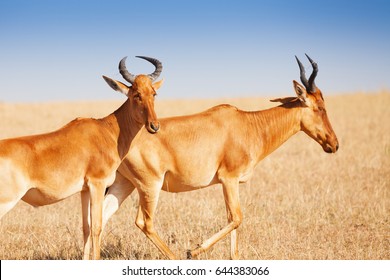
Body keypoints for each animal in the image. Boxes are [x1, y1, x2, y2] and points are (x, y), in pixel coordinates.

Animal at [0, 55, 164, 260]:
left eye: (154, 93)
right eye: (136, 94)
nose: (154, 126)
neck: (107, 131)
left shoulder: (84, 190)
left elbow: (86, 228)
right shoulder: (97, 184)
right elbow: (97, 227)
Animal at [103, 53, 338, 260]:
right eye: (320, 107)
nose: (334, 144)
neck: (247, 124)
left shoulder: (231, 183)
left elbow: (233, 223)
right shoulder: (229, 178)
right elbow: (237, 217)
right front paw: (193, 250)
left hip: (125, 183)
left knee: (102, 215)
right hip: (150, 185)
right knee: (144, 222)